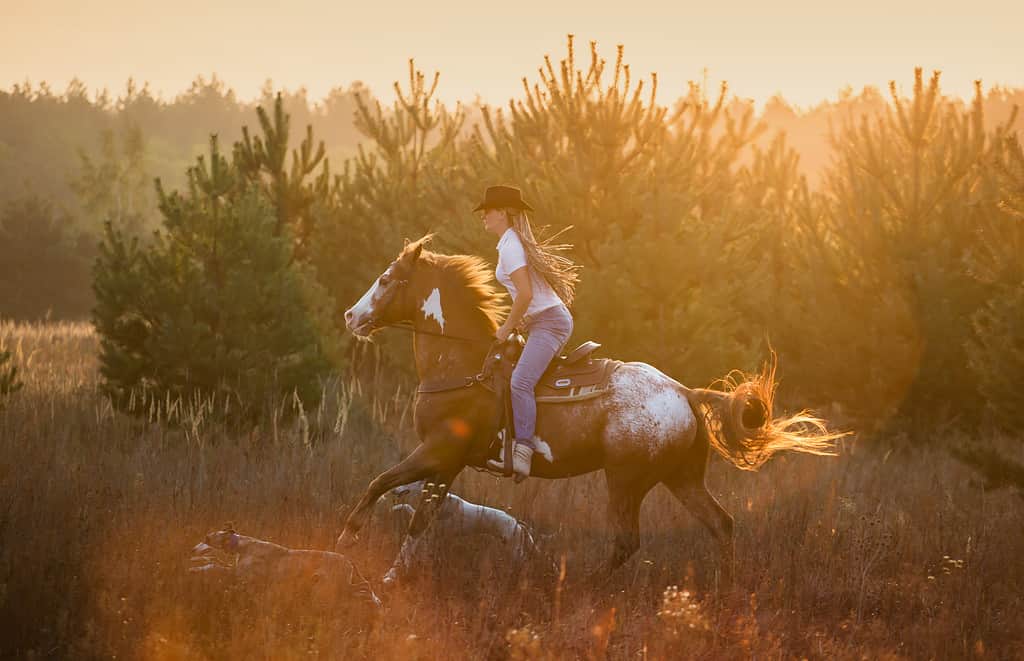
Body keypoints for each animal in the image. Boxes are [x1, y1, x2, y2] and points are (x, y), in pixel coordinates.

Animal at [335, 238, 839, 581]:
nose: (351, 316)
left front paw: (350, 538)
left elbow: (381, 483)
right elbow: (421, 516)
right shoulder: (447, 463)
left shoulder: (438, 452)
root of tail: (685, 393)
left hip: (625, 481)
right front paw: (393, 573)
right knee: (721, 525)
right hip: (681, 478)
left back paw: (583, 584)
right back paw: (725, 590)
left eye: (386, 279)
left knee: (627, 541)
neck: (463, 366)